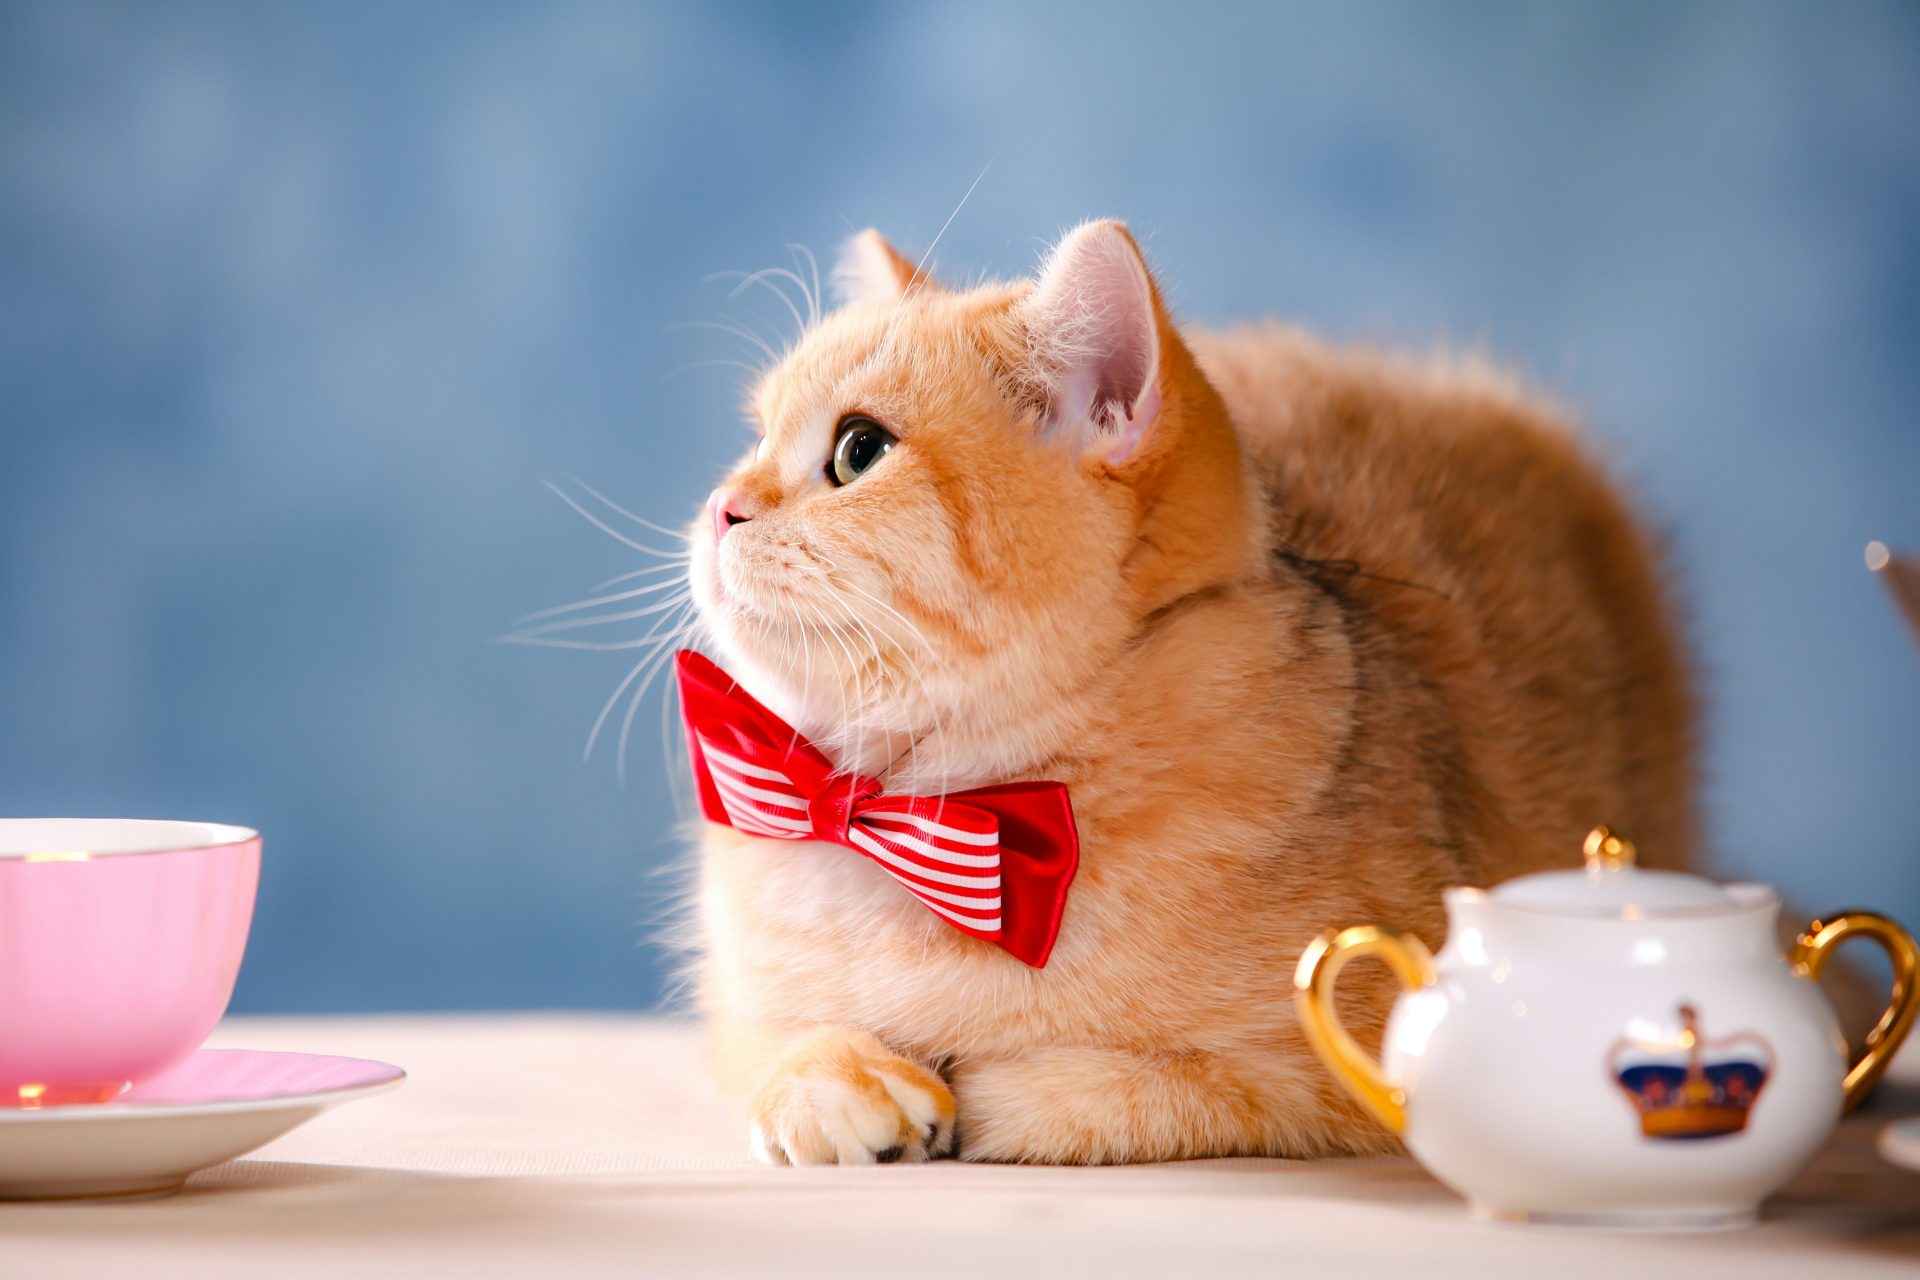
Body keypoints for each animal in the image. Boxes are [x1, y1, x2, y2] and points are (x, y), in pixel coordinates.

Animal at [679, 222, 1697, 1174]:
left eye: (860, 450)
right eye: (756, 437)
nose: (720, 505)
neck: (918, 813)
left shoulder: (1332, 1069)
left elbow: (1150, 1088)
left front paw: (1001, 1090)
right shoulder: (740, 998)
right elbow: (773, 1040)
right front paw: (836, 1078)